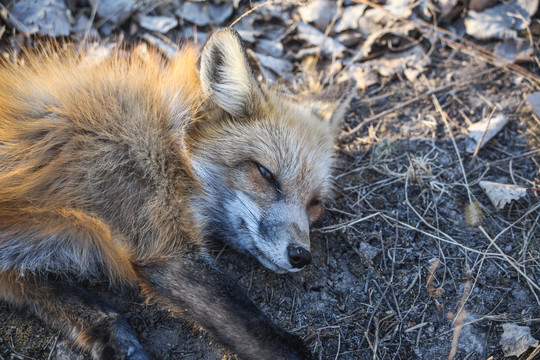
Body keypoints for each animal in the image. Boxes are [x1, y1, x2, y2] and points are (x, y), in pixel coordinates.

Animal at [0, 28, 354, 360]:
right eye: (266, 174)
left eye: (315, 204)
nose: (301, 256)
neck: (173, 149)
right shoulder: (164, 246)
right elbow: (267, 335)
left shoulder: (16, 267)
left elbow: (88, 311)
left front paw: (118, 344)